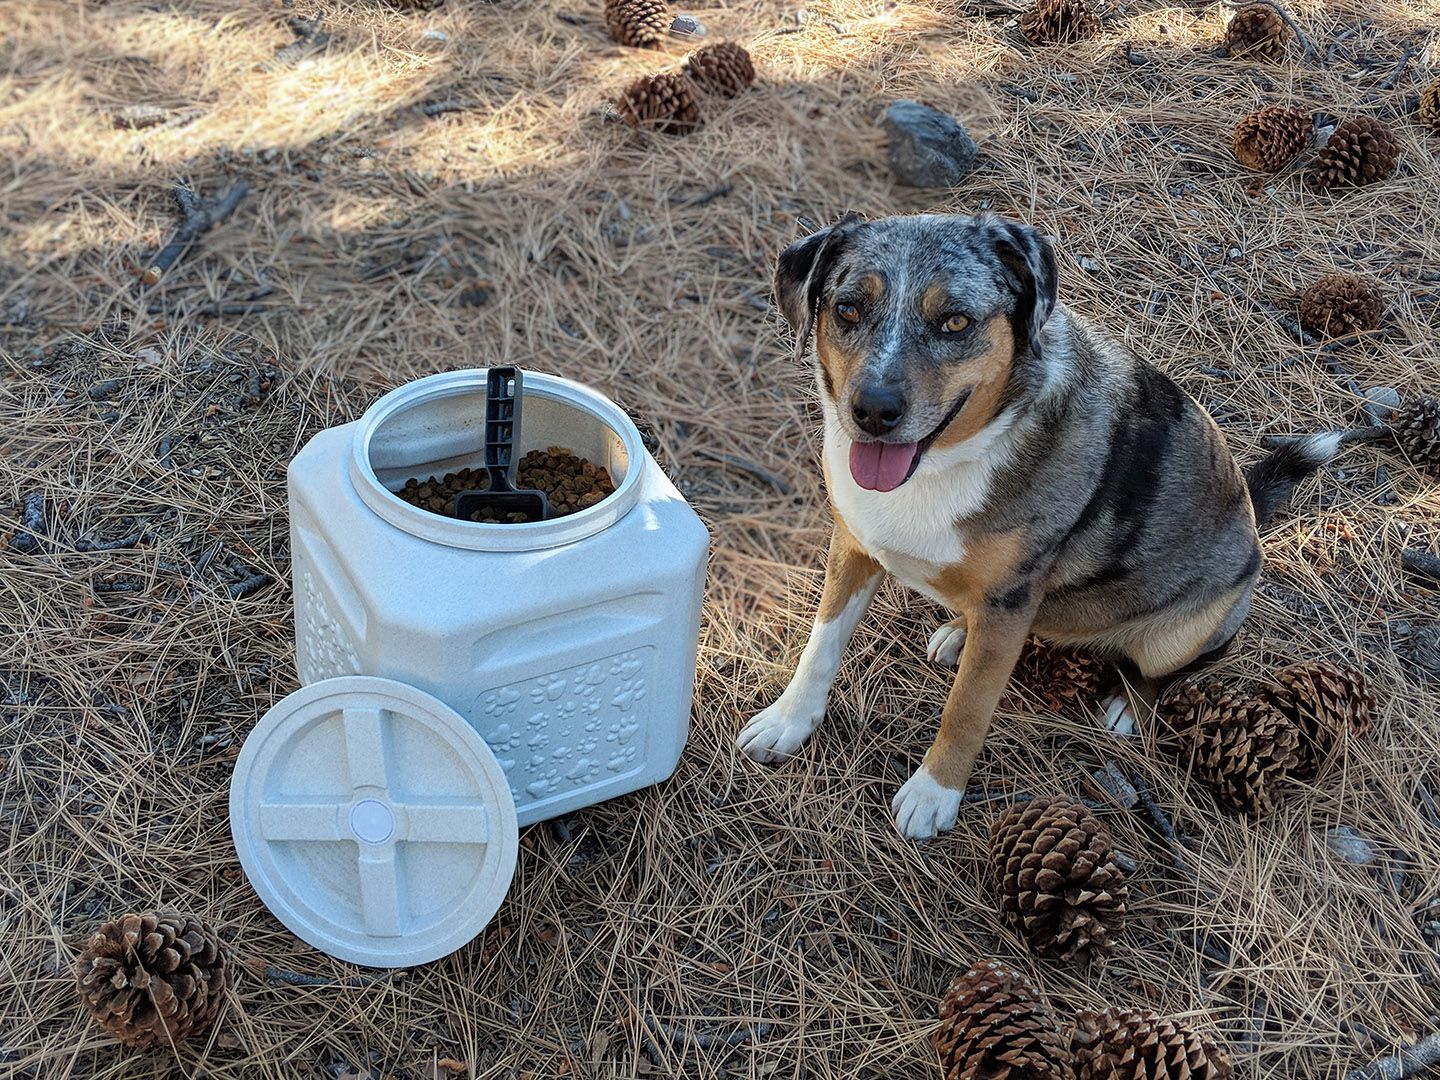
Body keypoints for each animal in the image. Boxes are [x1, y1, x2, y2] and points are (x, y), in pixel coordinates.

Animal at [737, 207, 1342, 840]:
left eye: (955, 321)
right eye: (848, 309)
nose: (874, 412)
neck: (946, 462)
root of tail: (1249, 512)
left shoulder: (1007, 602)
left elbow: (968, 708)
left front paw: (934, 794)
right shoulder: (854, 548)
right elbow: (820, 646)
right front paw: (787, 721)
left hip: (1185, 631)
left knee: (1171, 668)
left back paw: (1127, 706)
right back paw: (959, 632)